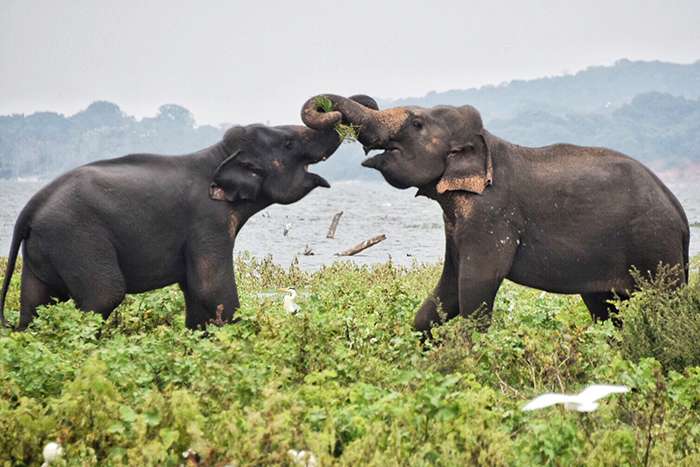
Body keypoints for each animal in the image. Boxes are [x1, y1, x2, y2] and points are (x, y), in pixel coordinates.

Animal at [0, 96, 378, 332]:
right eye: (287, 144)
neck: (217, 155)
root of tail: (30, 207)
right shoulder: (207, 221)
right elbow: (212, 288)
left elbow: (197, 295)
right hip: (77, 238)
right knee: (103, 294)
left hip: (46, 250)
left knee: (35, 303)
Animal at [300, 94, 688, 332]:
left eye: (416, 124)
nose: (332, 111)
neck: (485, 141)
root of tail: (681, 215)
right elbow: (447, 290)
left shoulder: (491, 214)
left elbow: (476, 285)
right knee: (604, 309)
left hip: (658, 246)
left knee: (666, 305)